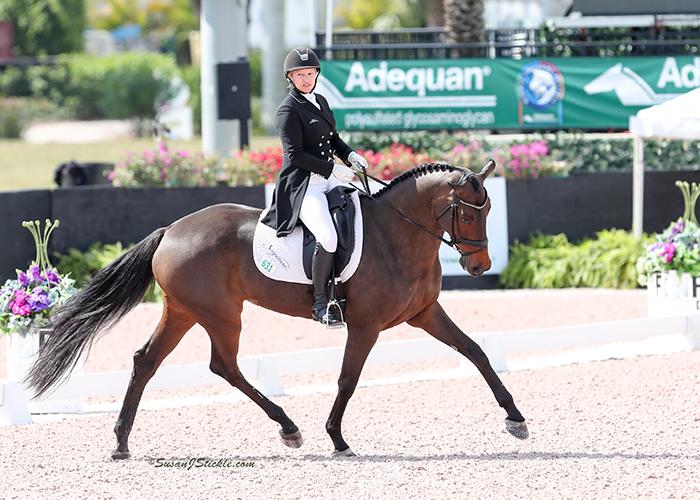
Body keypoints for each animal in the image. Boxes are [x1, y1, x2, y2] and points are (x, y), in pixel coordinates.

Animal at [30, 159, 528, 458]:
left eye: (487, 211)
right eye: (468, 213)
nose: (480, 266)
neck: (396, 235)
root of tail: (171, 229)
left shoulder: (425, 313)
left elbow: (476, 352)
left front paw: (516, 419)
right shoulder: (364, 325)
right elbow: (348, 379)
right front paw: (337, 438)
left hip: (184, 311)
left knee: (147, 361)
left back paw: (121, 443)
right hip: (221, 314)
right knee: (222, 365)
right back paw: (288, 427)